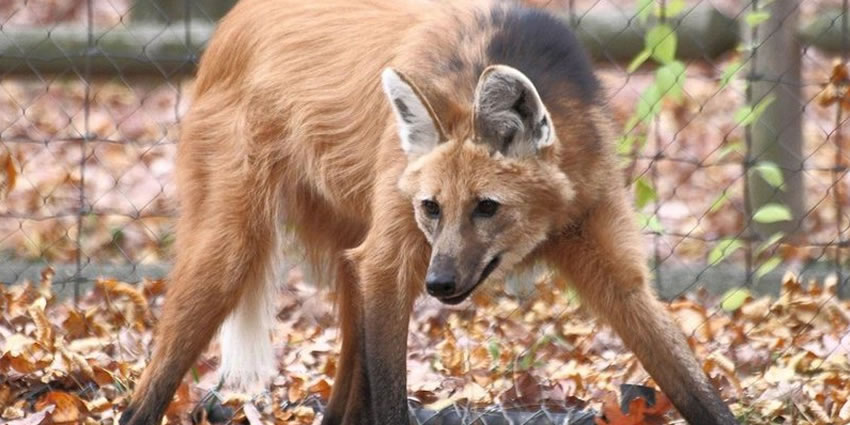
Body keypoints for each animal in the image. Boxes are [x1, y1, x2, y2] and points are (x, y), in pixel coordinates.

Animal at [119, 0, 736, 424]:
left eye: (487, 207)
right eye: (432, 208)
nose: (439, 284)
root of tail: (231, 20)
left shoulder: (607, 253)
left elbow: (693, 384)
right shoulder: (395, 258)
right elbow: (393, 395)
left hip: (351, 250)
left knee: (346, 391)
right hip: (234, 247)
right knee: (150, 386)